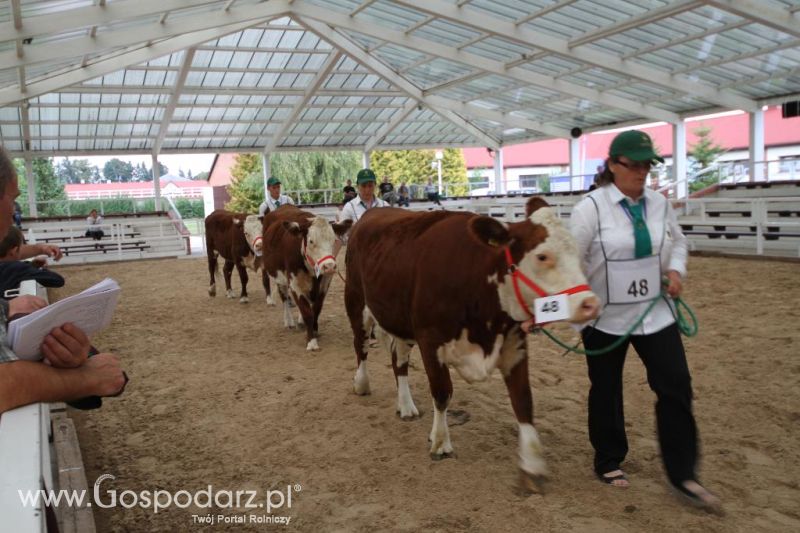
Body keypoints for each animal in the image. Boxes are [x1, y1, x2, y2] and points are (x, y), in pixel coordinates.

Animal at [260, 206, 352, 352]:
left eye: (333, 240)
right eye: (311, 241)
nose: (329, 266)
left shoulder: (324, 284)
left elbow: (316, 310)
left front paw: (314, 331)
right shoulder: (294, 285)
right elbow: (307, 312)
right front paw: (311, 342)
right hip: (279, 278)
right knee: (284, 297)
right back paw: (289, 321)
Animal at [344, 196, 600, 486]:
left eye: (576, 252)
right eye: (542, 256)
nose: (589, 303)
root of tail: (372, 213)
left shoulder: (514, 344)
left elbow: (523, 400)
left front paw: (533, 463)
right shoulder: (430, 341)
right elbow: (442, 393)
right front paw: (440, 442)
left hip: (398, 320)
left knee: (398, 360)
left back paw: (406, 405)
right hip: (356, 302)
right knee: (361, 346)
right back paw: (362, 384)